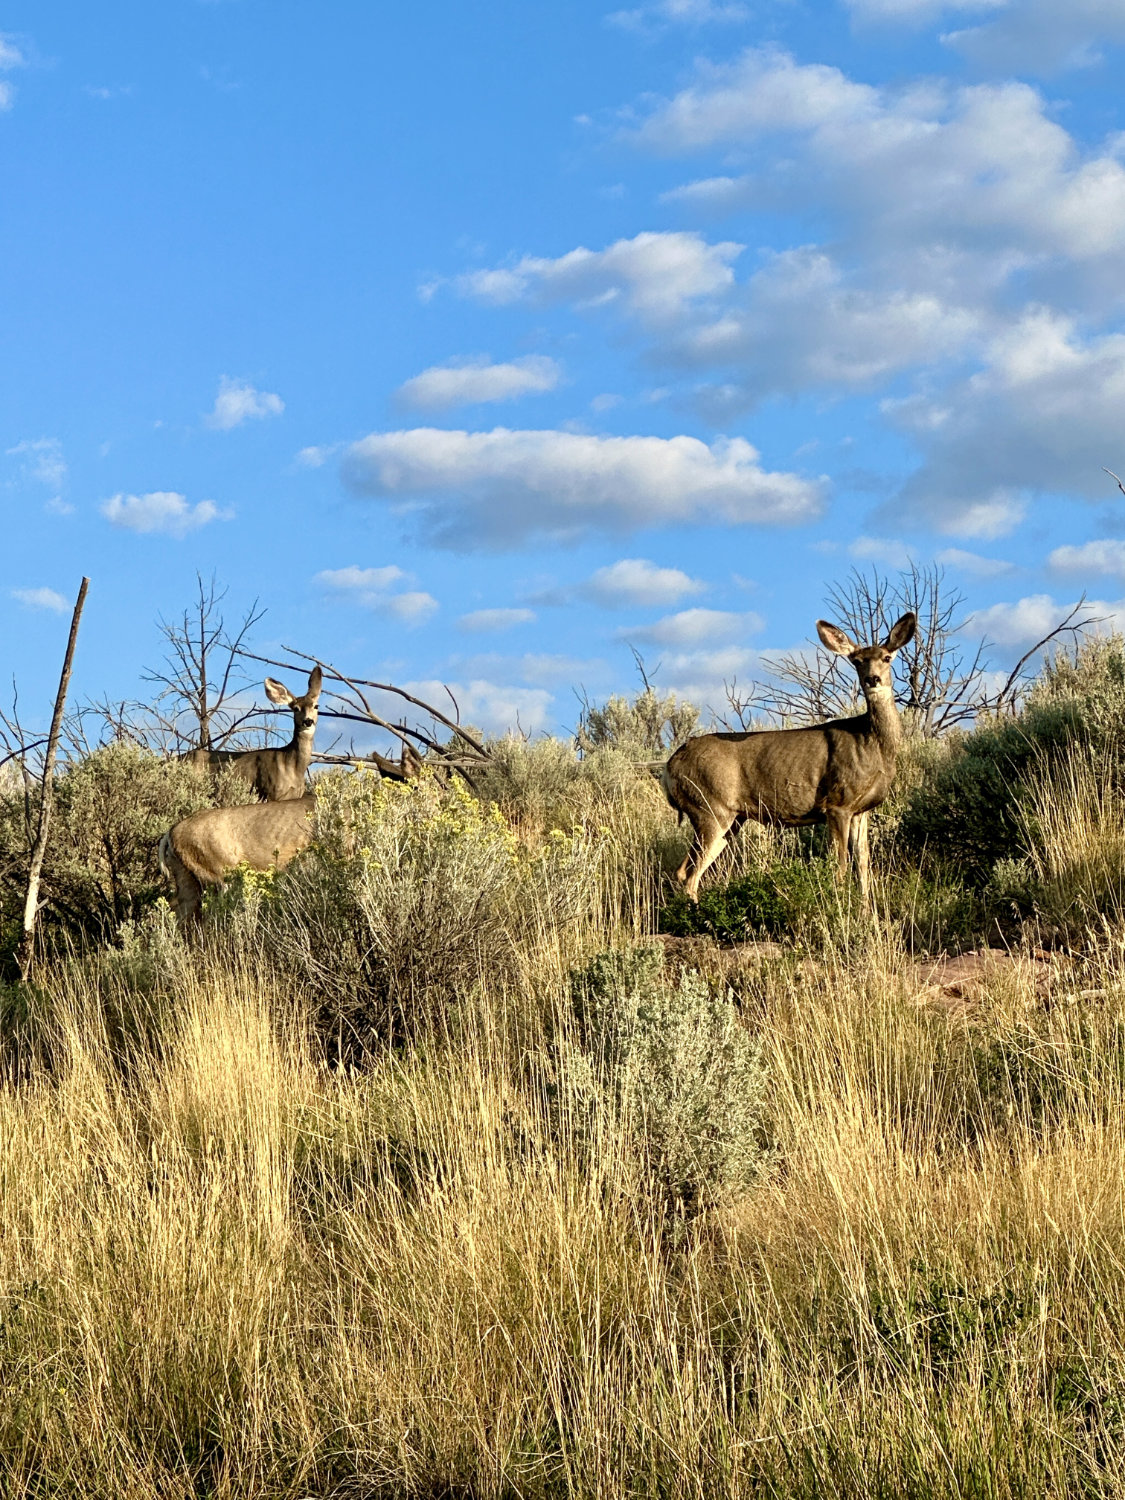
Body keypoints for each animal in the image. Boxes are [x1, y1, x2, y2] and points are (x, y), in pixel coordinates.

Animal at [660, 609, 918, 900]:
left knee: (683, 870)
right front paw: (841, 904)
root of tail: (669, 768)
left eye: (886, 657)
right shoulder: (837, 803)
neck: (871, 742)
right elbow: (840, 866)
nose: (872, 679)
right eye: (857, 661)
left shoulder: (861, 810)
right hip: (710, 807)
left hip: (729, 817)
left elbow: (863, 866)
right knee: (691, 875)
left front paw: (865, 908)